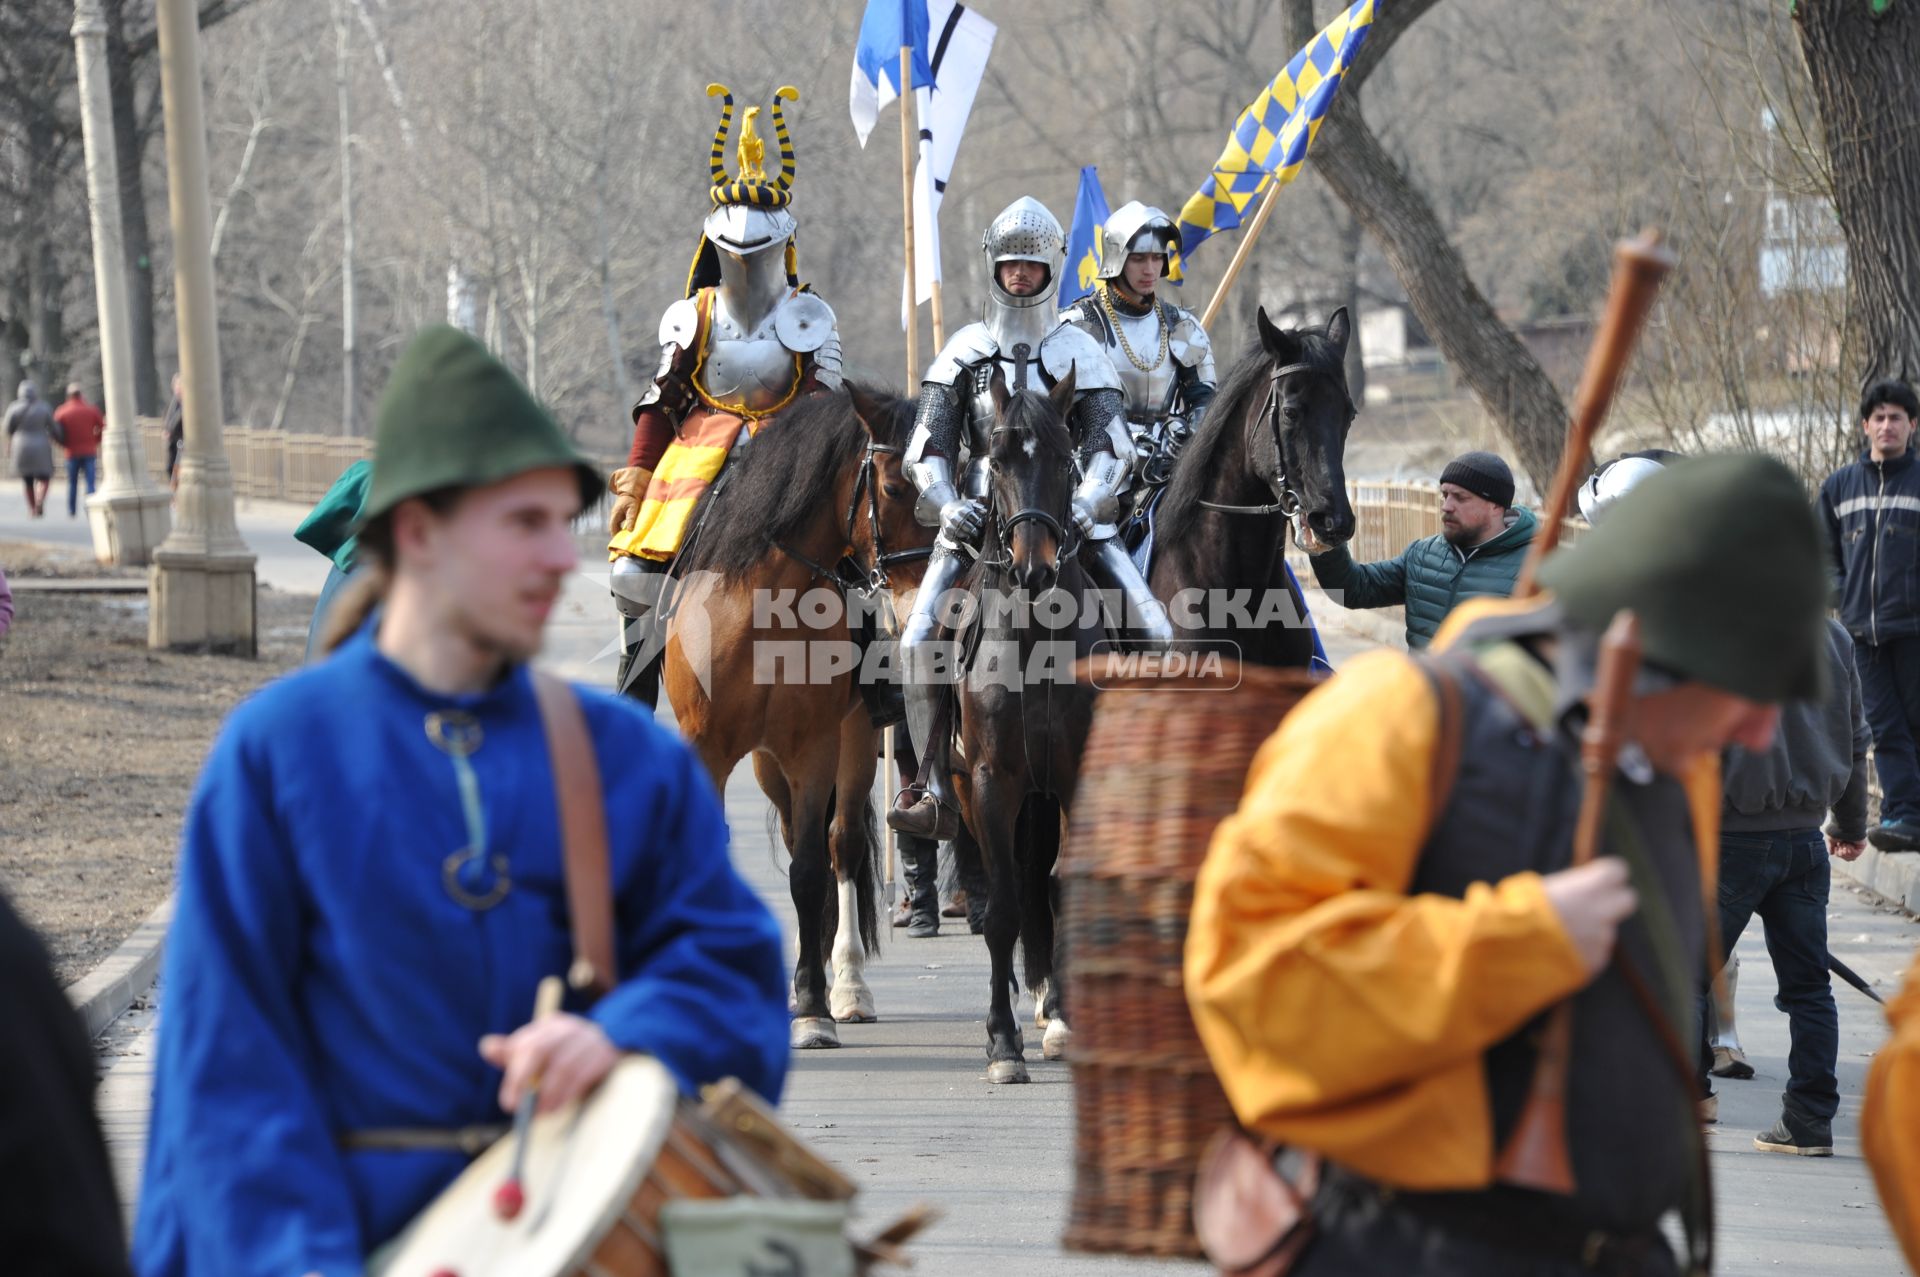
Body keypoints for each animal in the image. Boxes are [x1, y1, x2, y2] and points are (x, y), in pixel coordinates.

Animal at [660, 385, 929, 1044]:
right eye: (893, 488)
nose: (919, 600)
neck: (761, 608)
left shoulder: (814, 747)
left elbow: (810, 868)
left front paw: (812, 1007)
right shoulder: (710, 748)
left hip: (852, 742)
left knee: (843, 844)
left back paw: (847, 986)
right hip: (764, 763)